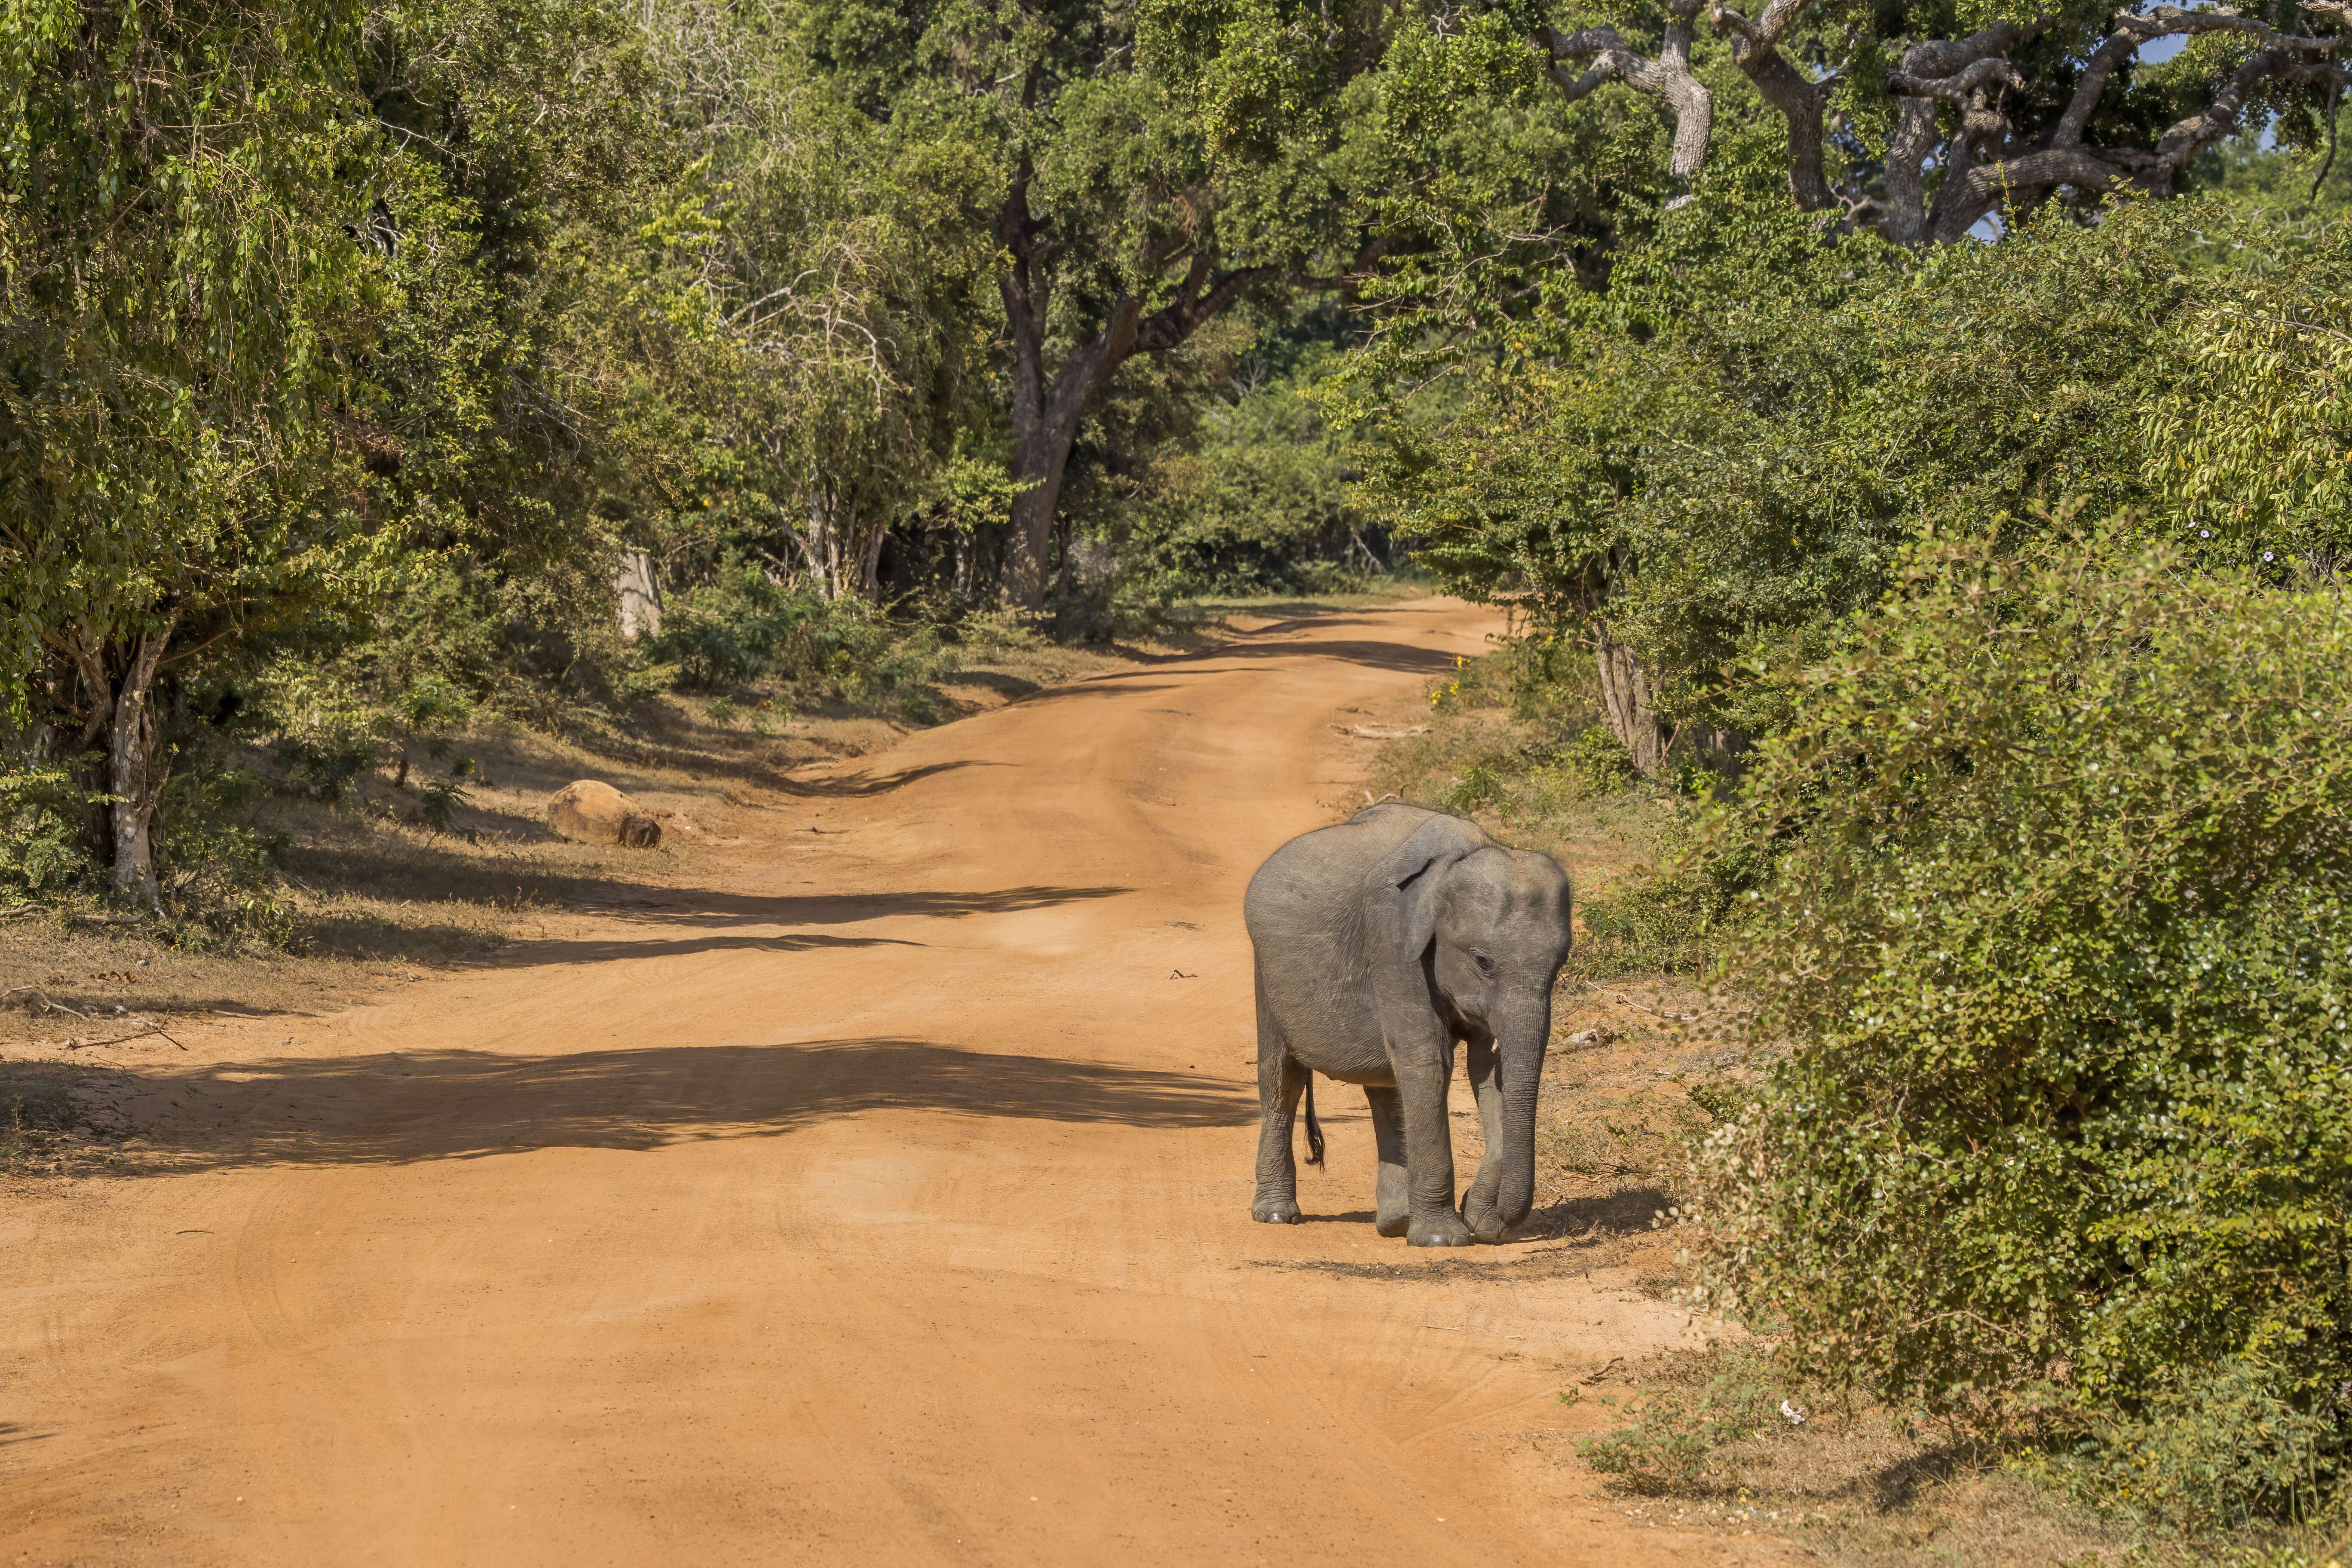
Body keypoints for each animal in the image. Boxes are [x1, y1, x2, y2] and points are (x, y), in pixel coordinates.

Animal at [1242, 804, 1571, 1241]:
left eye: (1561, 963)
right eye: (1483, 961)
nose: (1496, 1221)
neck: (1453, 865)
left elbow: (1489, 1072)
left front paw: (1478, 1220)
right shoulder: (1391, 940)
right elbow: (1429, 1062)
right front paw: (1442, 1238)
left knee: (1385, 1087)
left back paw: (1396, 1223)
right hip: (1266, 971)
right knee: (1283, 1077)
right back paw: (1277, 1215)